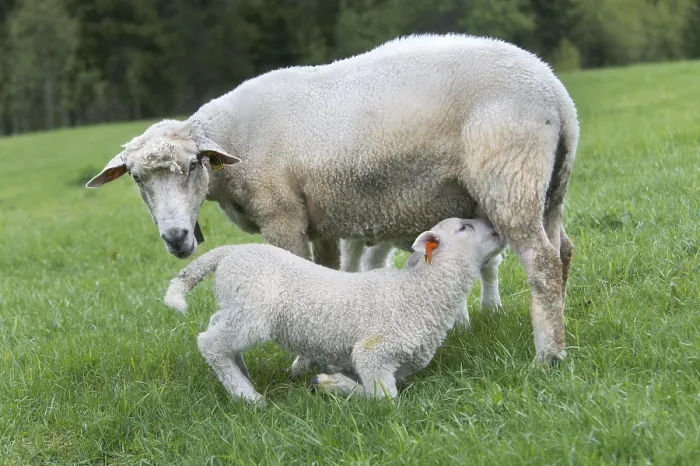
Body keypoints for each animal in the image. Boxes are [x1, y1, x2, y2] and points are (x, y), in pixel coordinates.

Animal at [86, 33, 578, 364]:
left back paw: (548, 357)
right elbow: (324, 275)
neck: (234, 146)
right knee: (563, 251)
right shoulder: (318, 221)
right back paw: (561, 331)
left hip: (509, 177)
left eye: (192, 166)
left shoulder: (281, 216)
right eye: (136, 178)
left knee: (541, 261)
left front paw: (301, 360)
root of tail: (555, 91)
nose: (175, 238)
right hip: (550, 189)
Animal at [163, 218, 506, 402]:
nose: (497, 228)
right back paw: (247, 396)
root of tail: (229, 252)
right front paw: (332, 384)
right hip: (252, 315)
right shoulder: (373, 352)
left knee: (216, 326)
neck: (419, 292)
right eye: (464, 226)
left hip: (237, 304)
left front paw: (331, 383)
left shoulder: (398, 365)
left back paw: (242, 376)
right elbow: (383, 398)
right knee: (208, 343)